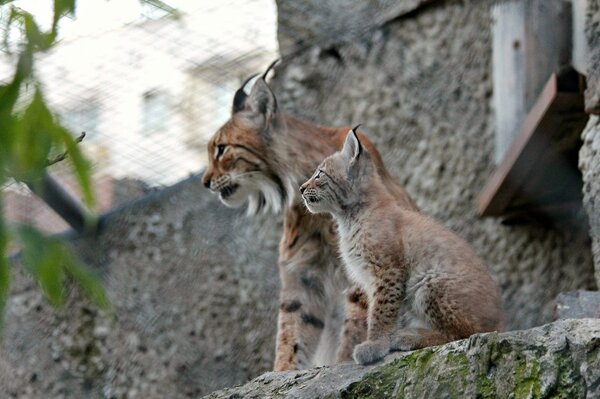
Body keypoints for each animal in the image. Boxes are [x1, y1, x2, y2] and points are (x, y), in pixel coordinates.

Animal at [298, 128, 504, 366]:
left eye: (320, 173)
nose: (301, 188)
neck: (349, 216)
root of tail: (501, 324)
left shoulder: (388, 270)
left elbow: (380, 311)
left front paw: (375, 346)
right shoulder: (373, 280)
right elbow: (380, 310)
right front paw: (379, 343)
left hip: (428, 279)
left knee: (465, 333)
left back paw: (410, 337)